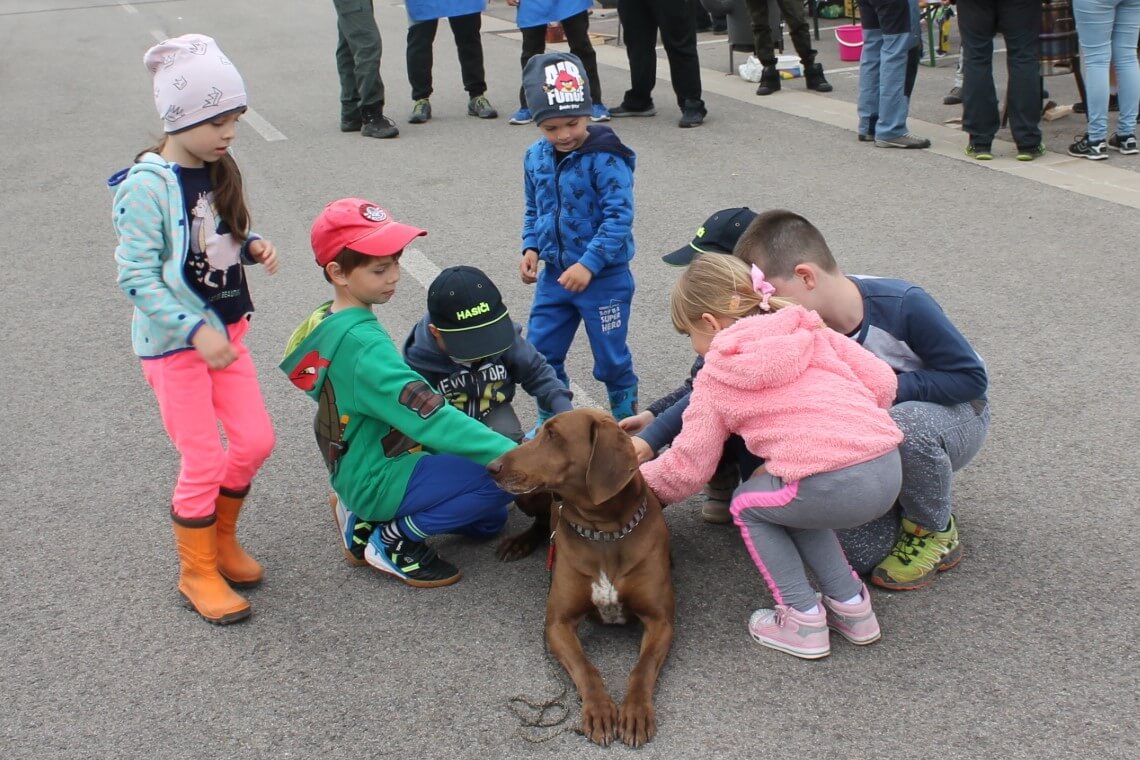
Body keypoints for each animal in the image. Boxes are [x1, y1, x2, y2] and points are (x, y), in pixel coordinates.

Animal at [483, 410, 670, 747]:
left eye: (553, 435)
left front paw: (635, 711)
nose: (491, 467)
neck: (605, 531)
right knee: (542, 521)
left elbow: (643, 667)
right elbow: (586, 668)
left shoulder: (660, 621)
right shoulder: (557, 624)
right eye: (539, 433)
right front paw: (599, 711)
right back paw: (519, 542)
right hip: (531, 496)